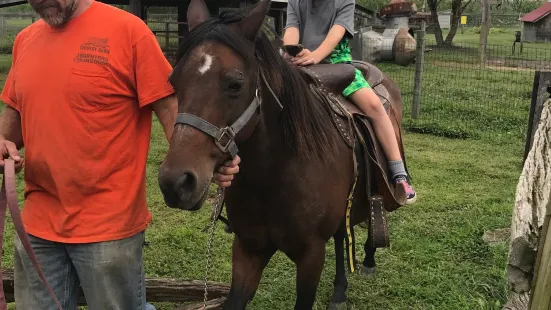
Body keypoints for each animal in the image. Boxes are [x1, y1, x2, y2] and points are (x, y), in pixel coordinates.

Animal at [157, 1, 408, 308]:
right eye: (173, 82)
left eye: (235, 84)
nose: (176, 183)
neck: (275, 173)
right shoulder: (248, 249)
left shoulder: (311, 256)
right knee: (340, 236)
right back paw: (339, 290)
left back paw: (370, 257)